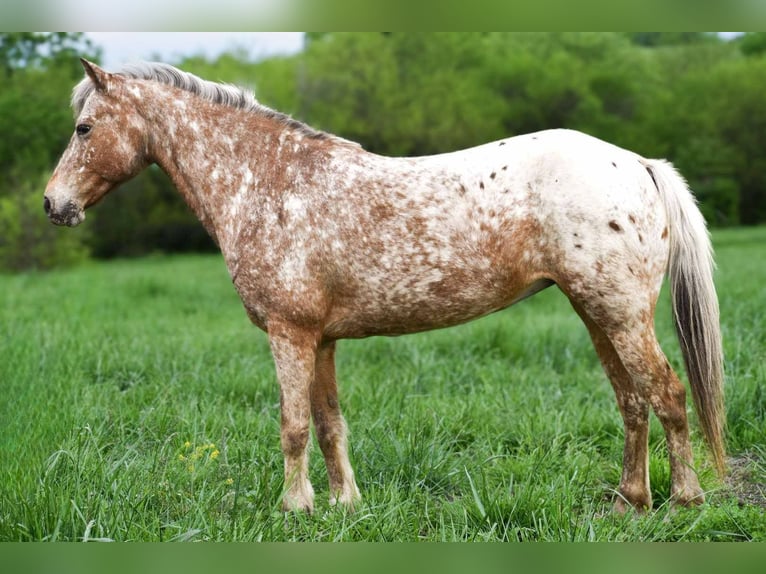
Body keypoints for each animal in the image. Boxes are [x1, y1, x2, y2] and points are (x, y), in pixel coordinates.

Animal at [45, 59, 725, 514]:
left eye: (83, 129)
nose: (54, 205)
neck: (268, 181)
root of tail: (637, 163)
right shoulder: (320, 339)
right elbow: (329, 423)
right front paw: (344, 504)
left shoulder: (289, 334)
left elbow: (293, 424)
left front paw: (295, 508)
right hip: (596, 314)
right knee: (632, 400)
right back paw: (630, 500)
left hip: (621, 315)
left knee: (667, 393)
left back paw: (686, 498)